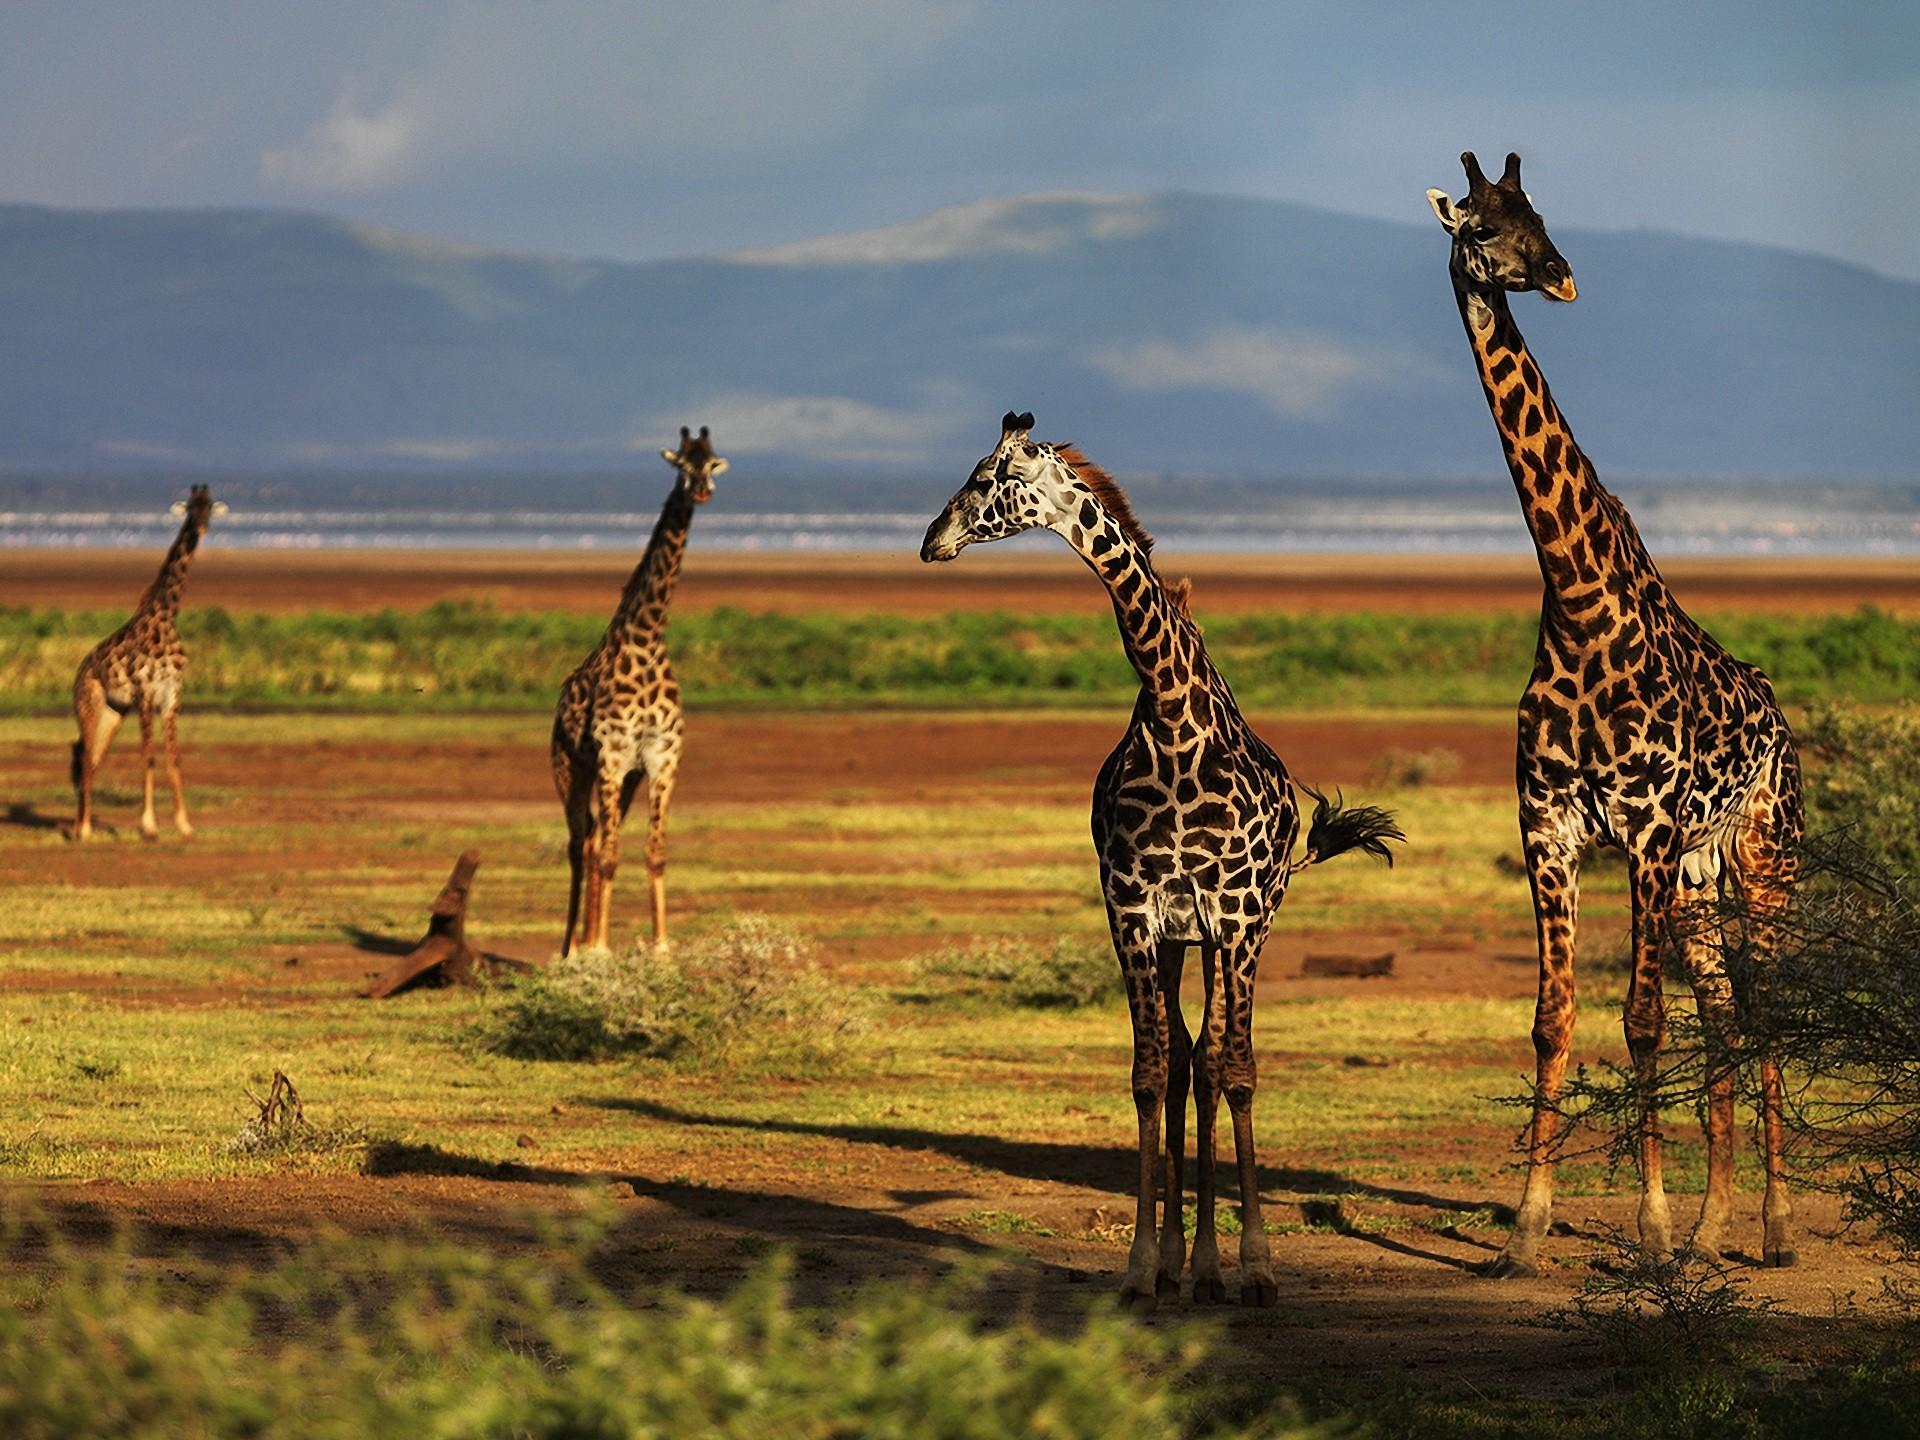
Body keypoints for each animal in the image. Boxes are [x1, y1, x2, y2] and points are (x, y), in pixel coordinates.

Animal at [70, 483, 226, 842]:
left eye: (210, 507)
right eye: (190, 509)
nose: (200, 529)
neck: (166, 618)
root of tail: (79, 672)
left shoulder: (172, 695)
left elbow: (174, 758)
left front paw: (184, 824)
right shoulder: (145, 693)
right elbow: (149, 757)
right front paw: (149, 825)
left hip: (114, 712)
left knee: (94, 757)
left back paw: (81, 824)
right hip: (90, 705)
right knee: (84, 755)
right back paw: (82, 829)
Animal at [551, 426, 725, 955]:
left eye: (711, 462)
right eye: (681, 465)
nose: (701, 492)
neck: (647, 640)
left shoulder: (661, 757)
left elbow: (653, 851)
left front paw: (662, 949)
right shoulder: (611, 754)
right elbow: (607, 855)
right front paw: (598, 951)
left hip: (625, 778)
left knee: (595, 840)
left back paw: (587, 939)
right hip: (572, 768)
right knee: (581, 843)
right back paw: (571, 948)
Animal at [922, 412, 1403, 1312]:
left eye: (988, 478)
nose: (933, 540)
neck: (1175, 716)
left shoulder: (1235, 916)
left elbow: (1237, 1069)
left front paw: (1255, 1266)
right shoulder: (1135, 913)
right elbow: (1150, 1074)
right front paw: (1144, 1265)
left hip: (1233, 930)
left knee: (1212, 1062)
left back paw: (1215, 1267)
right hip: (1182, 939)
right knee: (1184, 1061)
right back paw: (1187, 1265)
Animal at [1427, 152, 1804, 1274]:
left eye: (1541, 214)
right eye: (1482, 228)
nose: (1560, 276)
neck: (1578, 604)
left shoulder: (1642, 832)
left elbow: (1640, 1021)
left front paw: (1650, 1230)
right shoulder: (1549, 828)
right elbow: (1553, 1020)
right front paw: (1525, 1229)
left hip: (1763, 858)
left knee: (1767, 1013)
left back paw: (1773, 1228)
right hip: (1702, 875)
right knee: (1725, 1017)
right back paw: (1722, 1224)